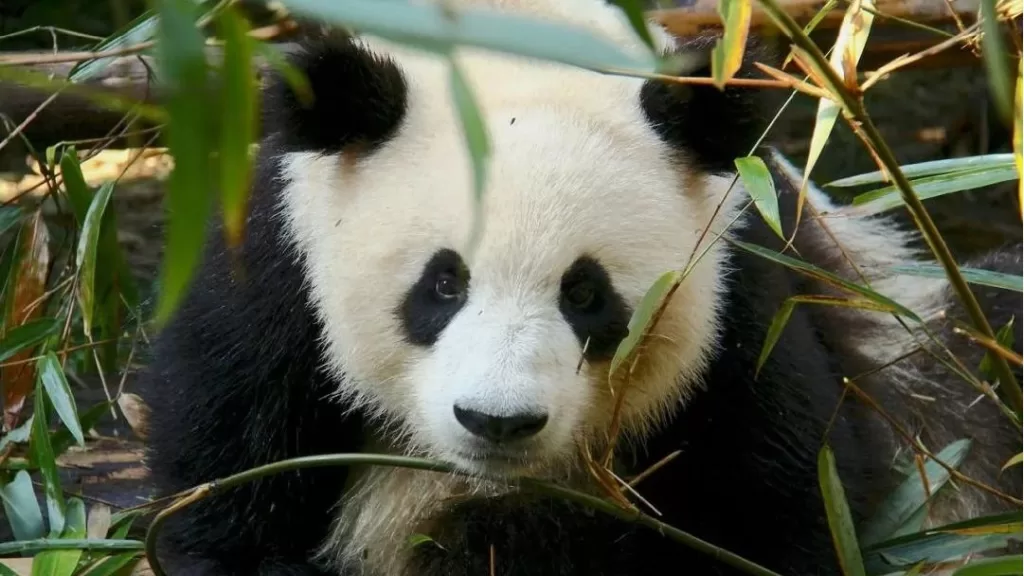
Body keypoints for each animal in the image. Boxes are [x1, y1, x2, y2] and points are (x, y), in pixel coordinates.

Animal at [137, 0, 1023, 575]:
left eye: (587, 295)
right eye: (443, 283)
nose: (497, 422)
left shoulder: (742, 304)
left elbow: (780, 507)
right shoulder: (271, 290)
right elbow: (226, 503)